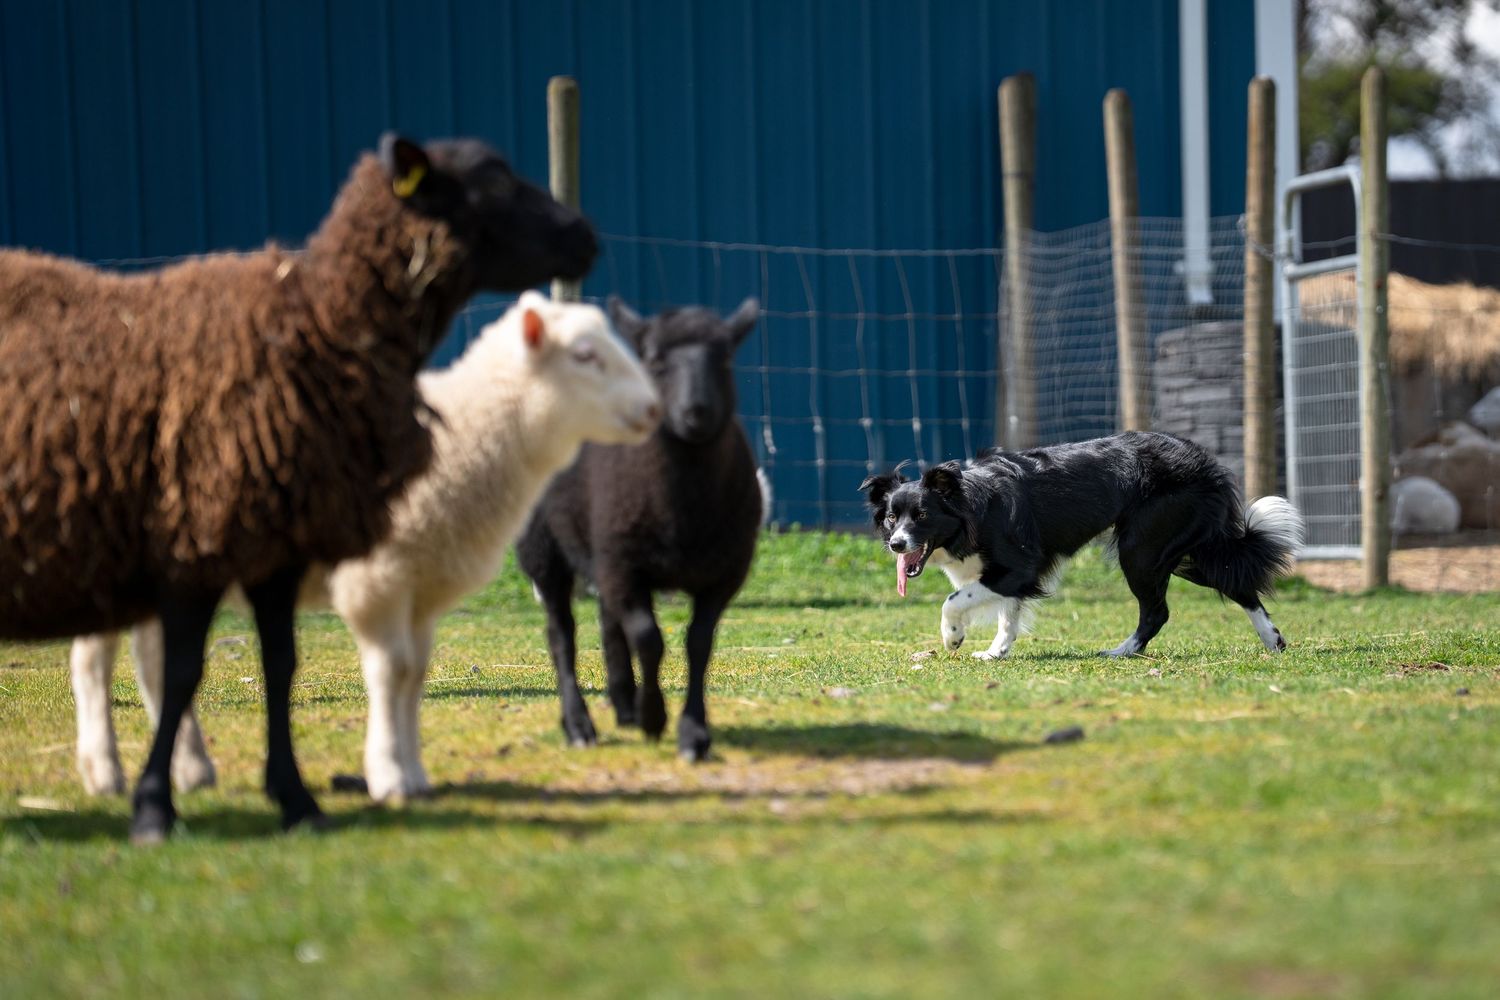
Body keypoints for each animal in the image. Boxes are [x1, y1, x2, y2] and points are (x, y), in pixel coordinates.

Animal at [69, 293, 661, 803]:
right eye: (584, 355)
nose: (654, 409)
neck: (464, 440)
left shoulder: (421, 585)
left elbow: (415, 673)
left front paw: (415, 773)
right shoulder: (377, 577)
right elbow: (390, 670)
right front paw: (388, 775)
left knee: (152, 656)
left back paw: (191, 769)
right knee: (94, 659)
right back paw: (105, 771)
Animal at [516, 297, 762, 762]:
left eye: (725, 357)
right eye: (653, 359)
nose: (697, 412)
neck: (684, 512)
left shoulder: (722, 574)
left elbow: (699, 644)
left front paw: (693, 733)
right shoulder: (624, 565)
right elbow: (649, 639)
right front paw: (654, 717)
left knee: (608, 621)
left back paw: (623, 702)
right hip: (546, 548)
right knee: (561, 635)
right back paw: (580, 724)